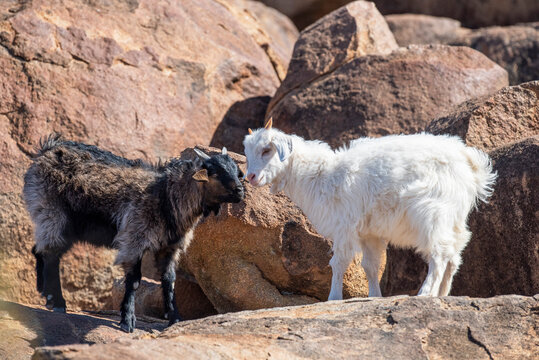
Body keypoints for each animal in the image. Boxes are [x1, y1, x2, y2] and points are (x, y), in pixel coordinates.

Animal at [23, 135, 245, 332]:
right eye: (215, 171)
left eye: (236, 171)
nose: (240, 191)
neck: (166, 194)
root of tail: (48, 149)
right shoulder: (134, 238)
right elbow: (134, 280)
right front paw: (127, 321)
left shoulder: (169, 247)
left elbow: (169, 280)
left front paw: (174, 318)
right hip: (52, 211)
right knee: (51, 254)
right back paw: (57, 302)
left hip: (63, 224)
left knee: (40, 250)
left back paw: (45, 293)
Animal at [245, 119, 498, 300]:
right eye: (247, 153)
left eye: (267, 150)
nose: (251, 177)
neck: (322, 175)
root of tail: (467, 161)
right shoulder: (369, 233)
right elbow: (371, 265)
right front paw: (374, 296)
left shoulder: (344, 227)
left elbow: (339, 263)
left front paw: (333, 298)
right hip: (453, 218)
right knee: (454, 254)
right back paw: (443, 293)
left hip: (432, 213)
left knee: (439, 254)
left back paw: (425, 293)